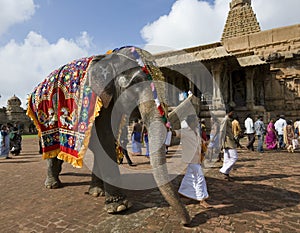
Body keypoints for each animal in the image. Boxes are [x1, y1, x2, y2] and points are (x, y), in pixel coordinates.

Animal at [26, 44, 190, 225]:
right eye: (136, 84)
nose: (186, 222)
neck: (109, 58)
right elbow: (104, 141)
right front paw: (119, 207)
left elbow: (105, 142)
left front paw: (98, 193)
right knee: (52, 148)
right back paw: (53, 185)